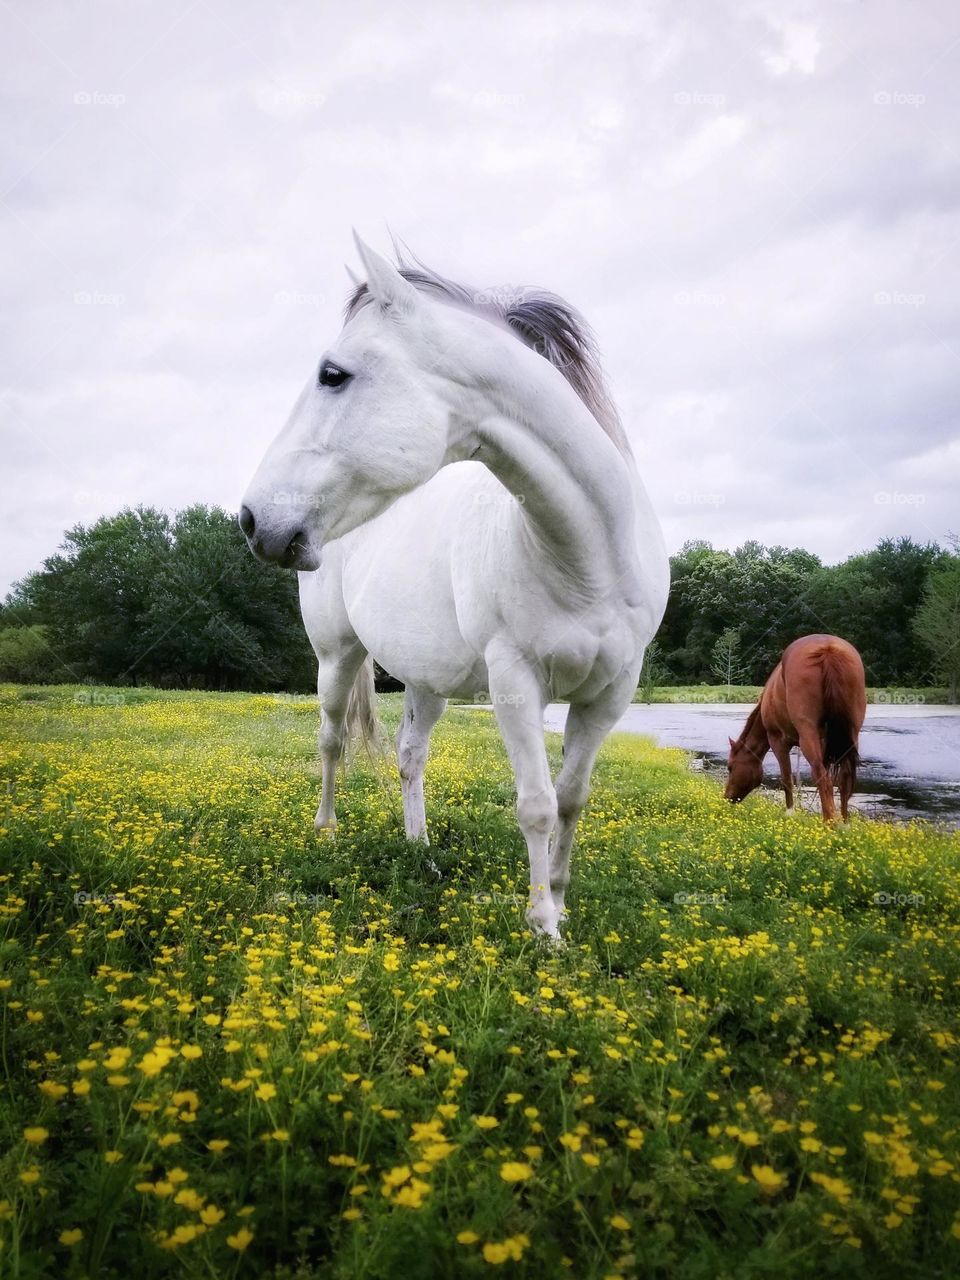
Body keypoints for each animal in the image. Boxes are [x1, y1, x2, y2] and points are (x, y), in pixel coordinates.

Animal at [239, 235, 669, 938]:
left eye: (333, 374)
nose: (253, 520)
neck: (588, 560)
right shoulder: (516, 684)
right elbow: (536, 804)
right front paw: (542, 926)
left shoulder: (612, 693)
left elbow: (572, 799)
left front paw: (560, 900)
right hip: (336, 657)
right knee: (331, 740)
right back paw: (326, 829)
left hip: (426, 679)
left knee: (410, 755)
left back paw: (420, 848)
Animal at [725, 634, 867, 821]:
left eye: (730, 767)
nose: (727, 797)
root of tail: (827, 649)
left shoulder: (778, 741)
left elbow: (787, 778)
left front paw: (790, 813)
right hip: (851, 733)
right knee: (845, 778)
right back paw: (844, 822)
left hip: (809, 735)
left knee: (822, 777)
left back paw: (829, 822)